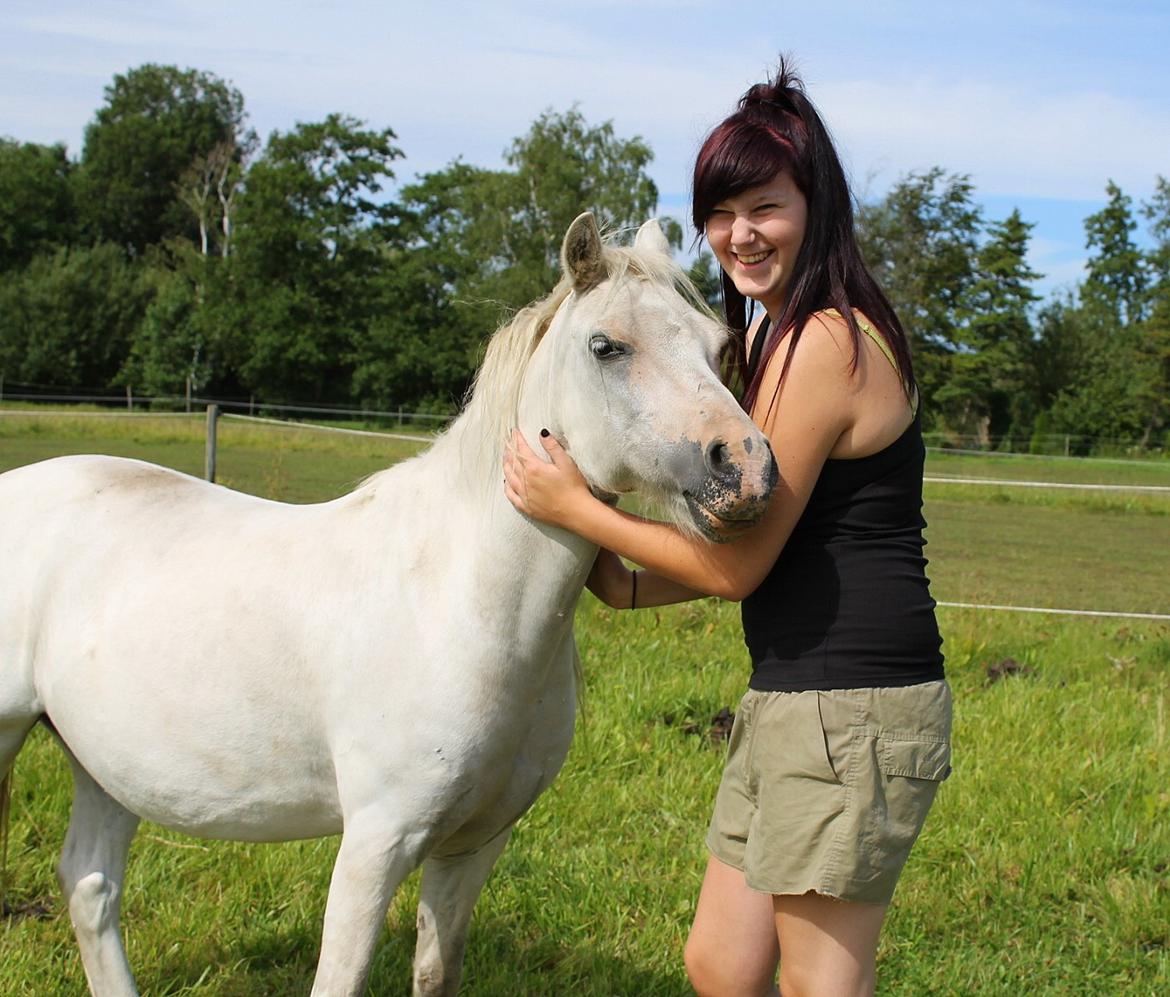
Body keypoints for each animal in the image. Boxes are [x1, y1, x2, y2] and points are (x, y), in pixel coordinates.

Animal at [2, 214, 776, 992]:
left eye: (717, 347)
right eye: (606, 345)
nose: (745, 468)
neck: (459, 603)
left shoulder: (473, 845)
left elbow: (436, 969)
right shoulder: (376, 845)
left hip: (103, 766)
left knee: (91, 885)